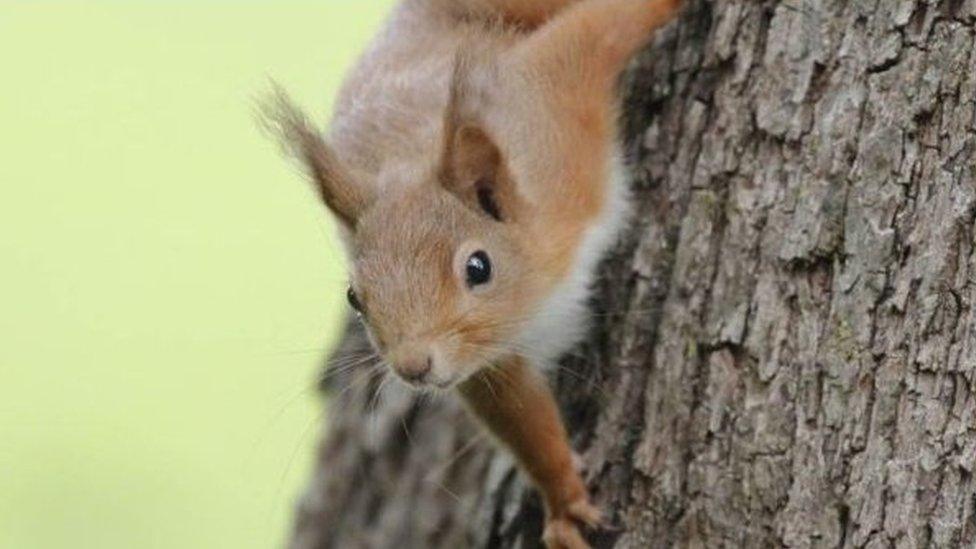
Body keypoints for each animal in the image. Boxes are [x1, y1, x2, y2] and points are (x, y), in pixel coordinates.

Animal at [264, 2, 684, 544]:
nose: (413, 367)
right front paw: (564, 501)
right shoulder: (488, 360)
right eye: (355, 297)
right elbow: (523, 422)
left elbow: (602, 28)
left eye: (478, 267)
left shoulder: (556, 101)